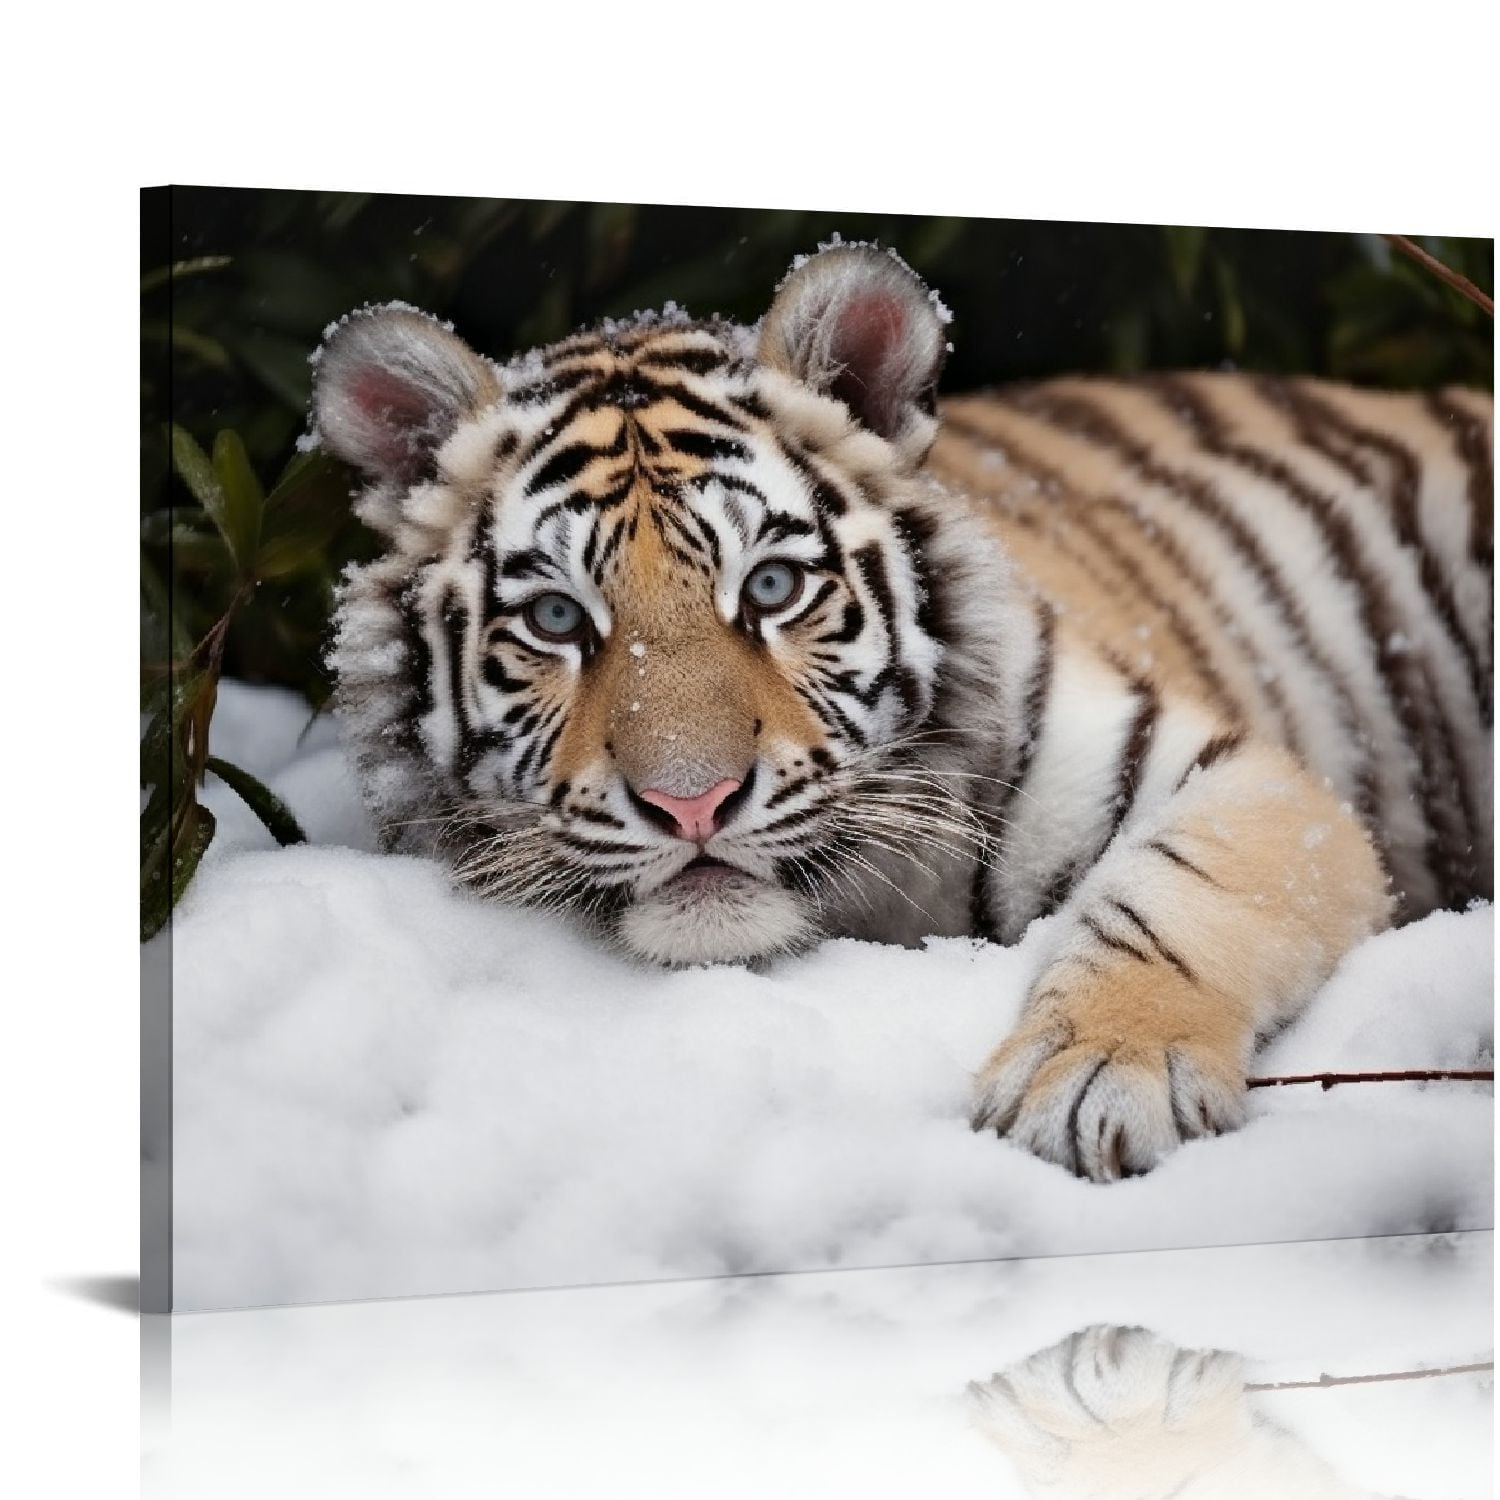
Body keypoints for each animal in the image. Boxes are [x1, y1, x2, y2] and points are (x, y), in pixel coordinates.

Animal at [314, 240, 1493, 1183]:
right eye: (558, 617)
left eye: (772, 588)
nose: (692, 804)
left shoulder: (1230, 777)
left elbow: (1175, 896)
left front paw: (1099, 1075)